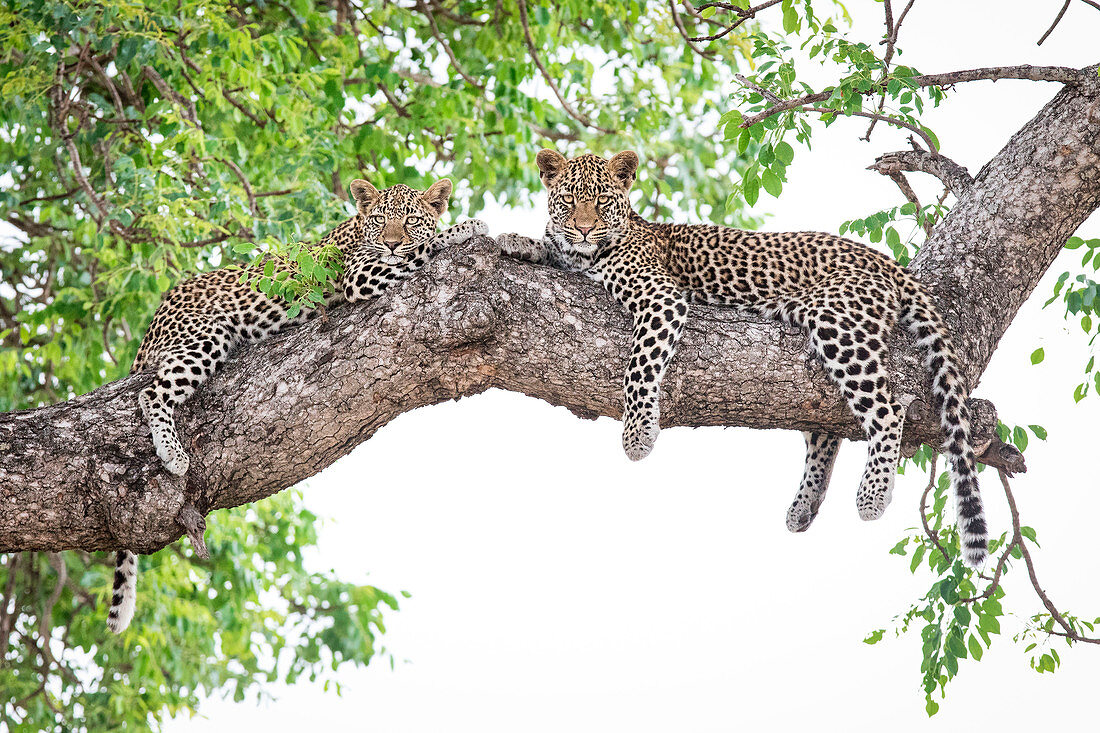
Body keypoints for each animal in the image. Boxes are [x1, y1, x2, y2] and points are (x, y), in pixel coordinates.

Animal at [108, 178, 490, 633]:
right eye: (381, 220)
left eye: (411, 219)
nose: (393, 242)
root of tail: (153, 323)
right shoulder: (361, 274)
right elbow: (425, 248)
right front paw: (466, 227)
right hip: (204, 334)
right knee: (150, 394)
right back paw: (173, 453)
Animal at [499, 148, 990, 567]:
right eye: (567, 200)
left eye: (601, 201)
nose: (582, 229)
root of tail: (889, 263)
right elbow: (549, 248)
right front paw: (515, 239)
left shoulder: (661, 297)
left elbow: (639, 367)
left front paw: (637, 435)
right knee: (826, 432)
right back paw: (804, 506)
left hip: (836, 323)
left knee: (887, 410)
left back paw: (871, 496)